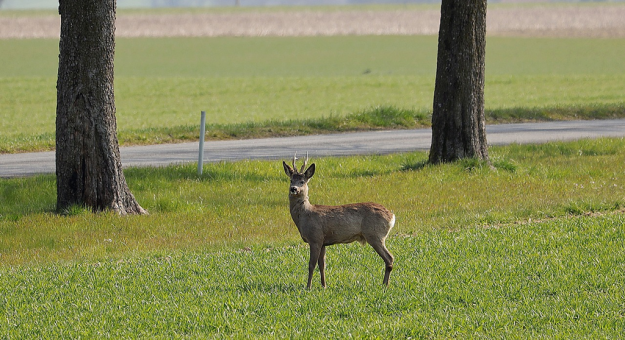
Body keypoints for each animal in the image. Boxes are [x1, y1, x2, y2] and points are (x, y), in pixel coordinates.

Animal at [282, 153, 394, 288]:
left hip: (375, 235)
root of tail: (391, 216)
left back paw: (385, 285)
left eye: (302, 181)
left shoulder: (315, 238)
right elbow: (322, 265)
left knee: (389, 258)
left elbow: (311, 265)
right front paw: (324, 285)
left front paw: (308, 287)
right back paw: (384, 284)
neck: (305, 215)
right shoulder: (323, 242)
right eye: (291, 180)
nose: (293, 189)